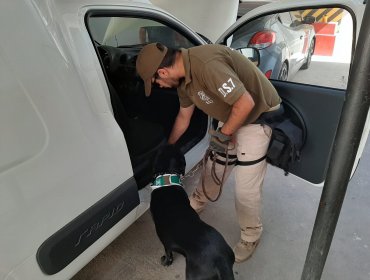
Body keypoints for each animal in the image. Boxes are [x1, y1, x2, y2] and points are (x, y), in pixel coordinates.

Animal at [148, 145, 233, 278]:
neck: (168, 179)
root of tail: (221, 260)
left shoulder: (165, 241)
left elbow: (168, 253)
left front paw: (166, 261)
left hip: (194, 274)